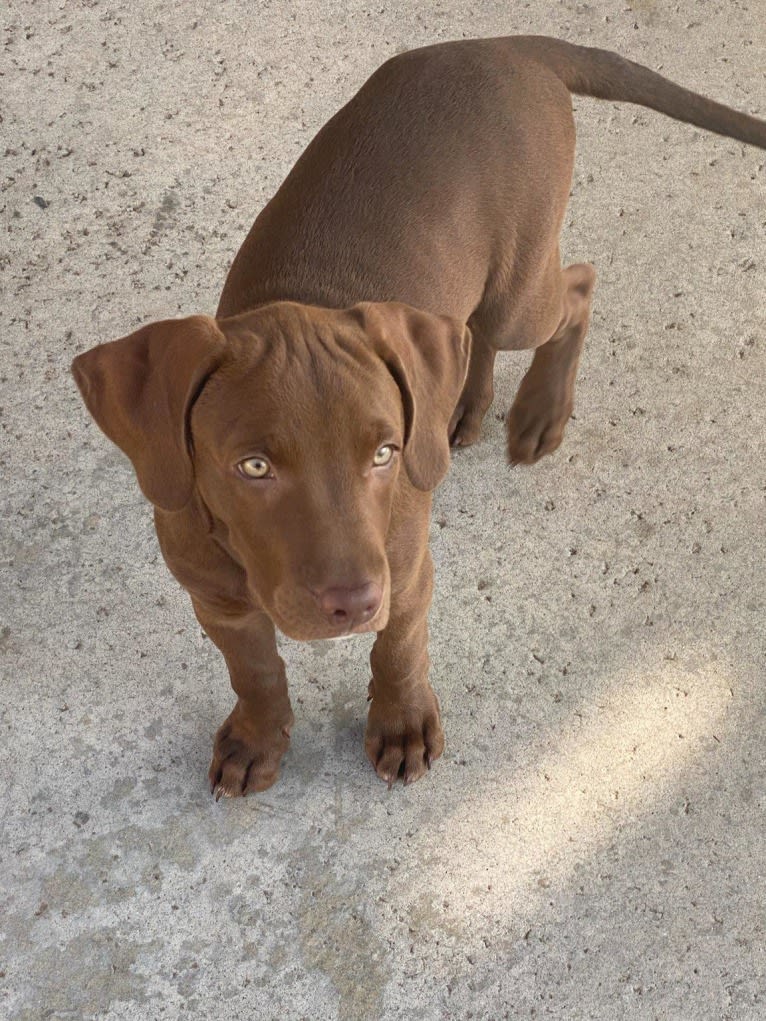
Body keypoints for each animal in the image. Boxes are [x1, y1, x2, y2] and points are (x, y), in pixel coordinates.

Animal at [73, 35, 766, 796]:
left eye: (384, 453)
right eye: (252, 466)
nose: (351, 602)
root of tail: (505, 44)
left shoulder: (406, 574)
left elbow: (399, 650)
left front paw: (402, 725)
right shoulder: (217, 599)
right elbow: (254, 670)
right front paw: (258, 736)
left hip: (519, 287)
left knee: (576, 288)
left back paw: (540, 412)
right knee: (466, 333)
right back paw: (463, 405)